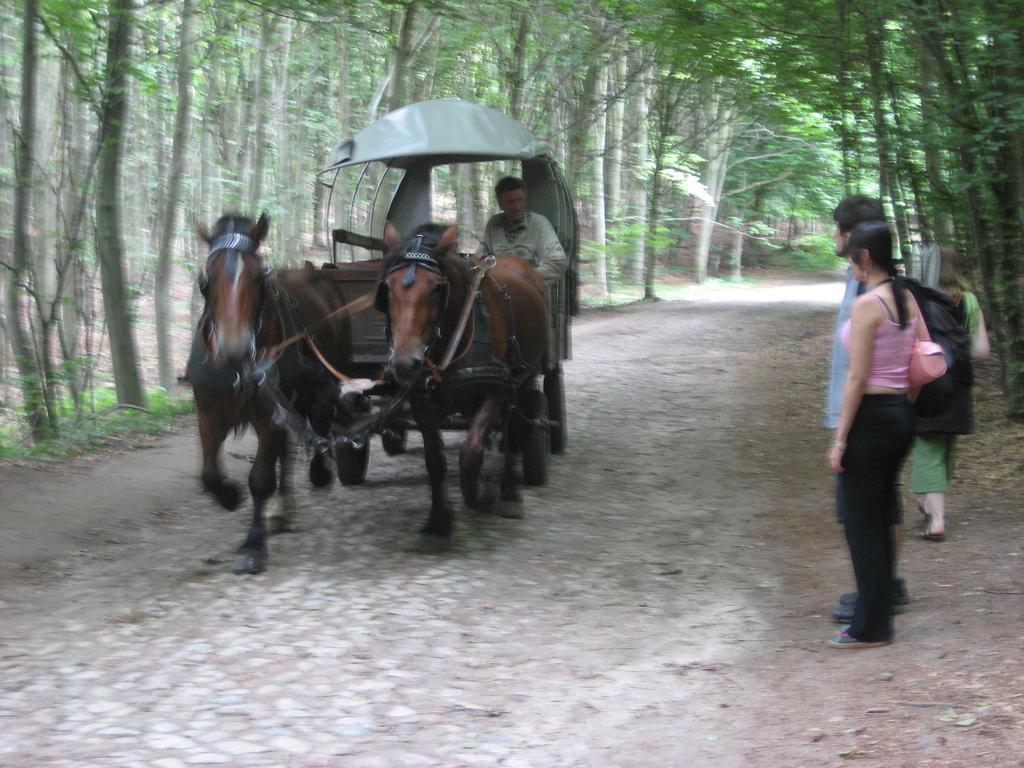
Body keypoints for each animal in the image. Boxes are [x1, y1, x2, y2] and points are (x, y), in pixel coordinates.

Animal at [189, 214, 356, 573]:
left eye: (258, 278)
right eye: (206, 279)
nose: (235, 350)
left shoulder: (269, 416)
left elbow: (261, 479)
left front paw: (253, 546)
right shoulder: (208, 414)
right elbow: (209, 473)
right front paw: (229, 496)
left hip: (324, 379)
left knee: (320, 418)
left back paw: (319, 470)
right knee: (287, 448)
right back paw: (283, 510)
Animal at [378, 222, 552, 536]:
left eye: (437, 287)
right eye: (387, 288)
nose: (405, 363)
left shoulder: (495, 391)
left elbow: (470, 454)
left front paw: (482, 495)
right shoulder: (421, 401)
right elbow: (435, 460)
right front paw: (440, 517)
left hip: (522, 377)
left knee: (514, 426)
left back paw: (509, 492)